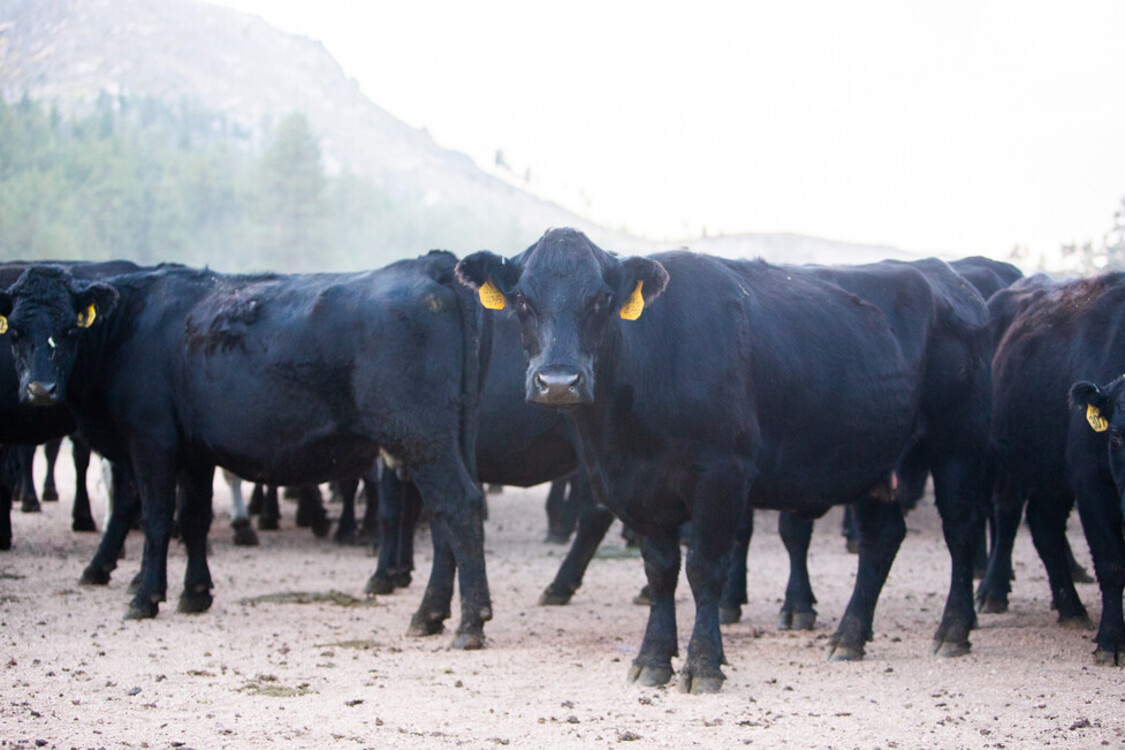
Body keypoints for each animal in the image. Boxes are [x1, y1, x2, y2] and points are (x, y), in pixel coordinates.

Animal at [0, 255, 492, 649]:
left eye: (68, 329)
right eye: (16, 333)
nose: (39, 390)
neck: (128, 327)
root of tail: (432, 267)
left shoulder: (151, 443)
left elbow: (157, 518)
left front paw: (145, 597)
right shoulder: (196, 454)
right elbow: (193, 519)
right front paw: (195, 593)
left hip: (421, 439)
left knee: (457, 507)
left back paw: (468, 622)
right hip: (445, 441)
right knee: (445, 519)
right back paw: (432, 615)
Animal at [457, 228, 989, 692]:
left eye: (601, 299)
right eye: (522, 300)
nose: (558, 382)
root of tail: (947, 276)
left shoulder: (721, 476)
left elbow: (705, 568)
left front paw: (703, 664)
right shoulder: (636, 488)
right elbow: (660, 572)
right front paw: (653, 659)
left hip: (957, 449)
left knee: (961, 531)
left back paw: (953, 630)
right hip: (876, 461)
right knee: (882, 540)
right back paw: (849, 636)